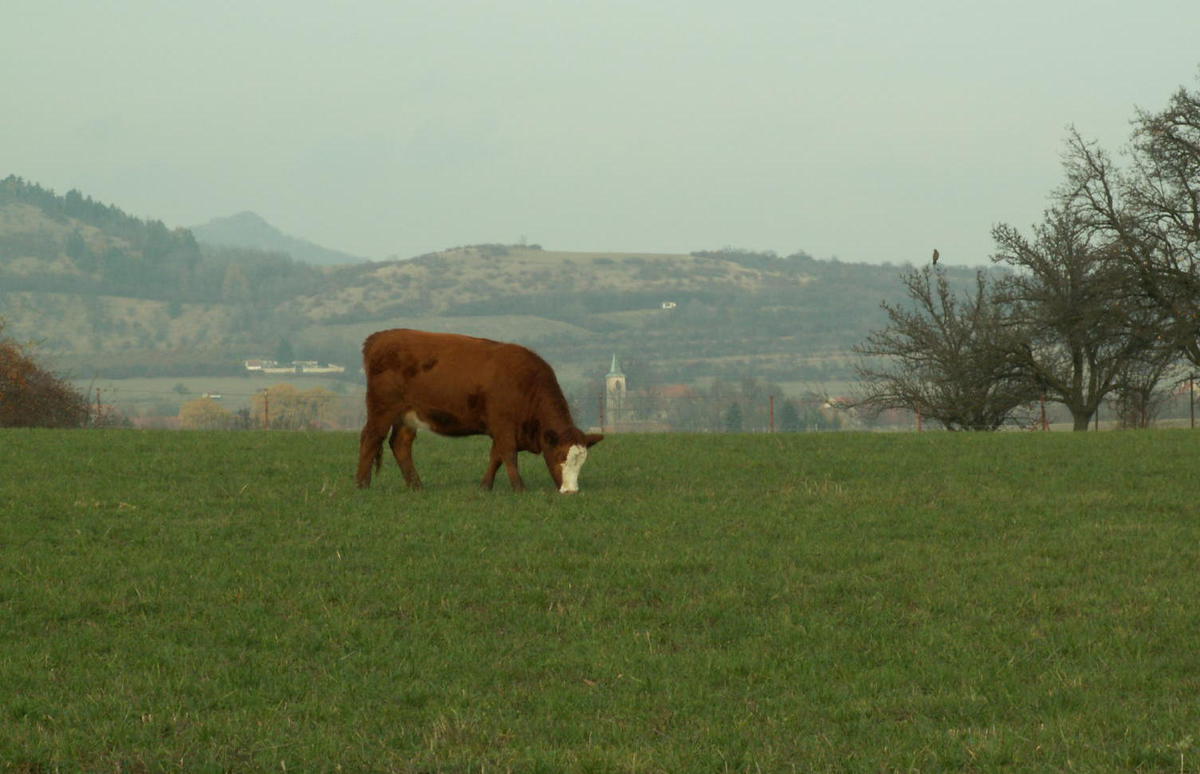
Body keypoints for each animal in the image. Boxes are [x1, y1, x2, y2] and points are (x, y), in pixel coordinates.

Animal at [352, 328, 600, 492]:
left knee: (400, 444)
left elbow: (496, 457)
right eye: (560, 456)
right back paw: (362, 484)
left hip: (407, 415)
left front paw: (485, 486)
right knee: (371, 438)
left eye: (582, 461)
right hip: (382, 409)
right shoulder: (503, 425)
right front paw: (519, 487)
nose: (571, 491)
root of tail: (380, 337)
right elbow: (508, 454)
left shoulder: (502, 429)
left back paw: (416, 486)